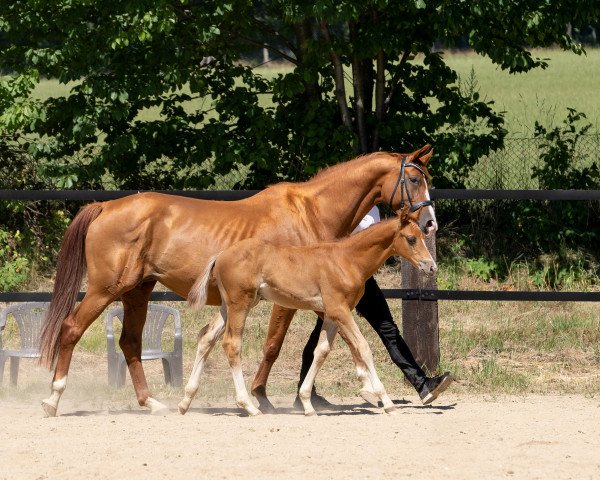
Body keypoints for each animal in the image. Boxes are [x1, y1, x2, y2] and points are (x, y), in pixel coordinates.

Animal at [179, 218, 436, 416]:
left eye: (423, 236)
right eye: (411, 239)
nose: (431, 266)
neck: (347, 260)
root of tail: (221, 254)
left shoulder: (331, 314)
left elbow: (321, 351)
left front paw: (306, 403)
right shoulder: (340, 311)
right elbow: (363, 347)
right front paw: (388, 402)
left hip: (229, 306)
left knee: (206, 338)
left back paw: (185, 401)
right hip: (240, 304)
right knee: (232, 344)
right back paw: (249, 406)